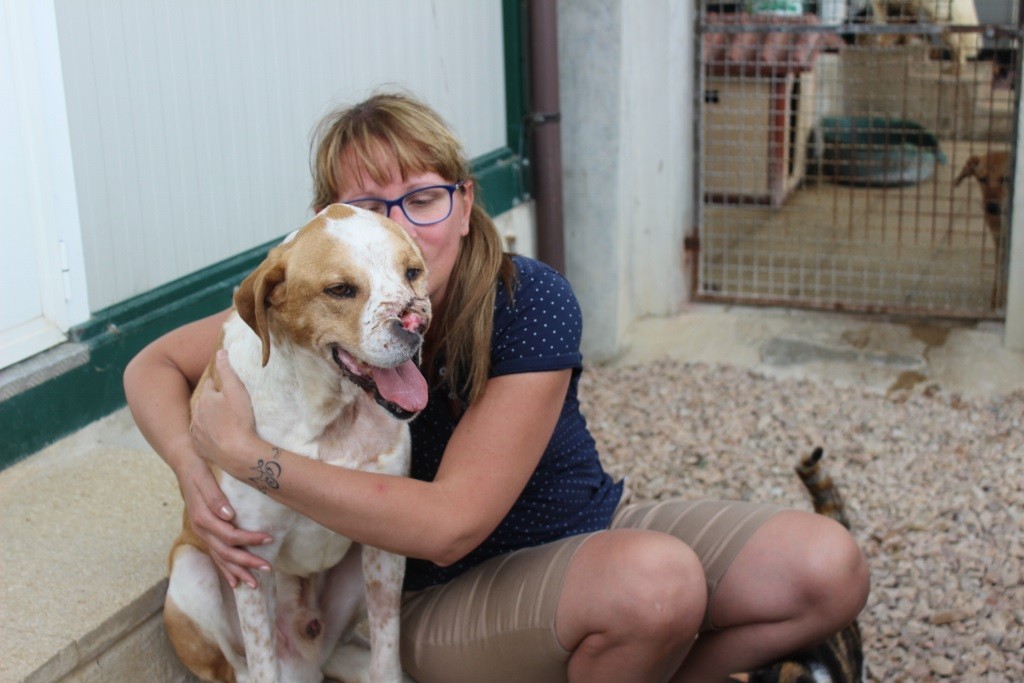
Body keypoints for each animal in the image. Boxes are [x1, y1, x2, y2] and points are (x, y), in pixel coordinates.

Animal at [163, 202, 428, 683]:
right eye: (340, 289)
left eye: (412, 272)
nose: (415, 321)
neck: (326, 416)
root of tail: (306, 664)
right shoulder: (251, 558)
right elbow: (260, 659)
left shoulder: (385, 546)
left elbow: (386, 645)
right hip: (192, 572)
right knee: (239, 668)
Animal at [954, 152, 1011, 309]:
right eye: (982, 179)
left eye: (1006, 179)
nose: (991, 207)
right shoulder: (999, 238)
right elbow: (1000, 269)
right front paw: (997, 301)